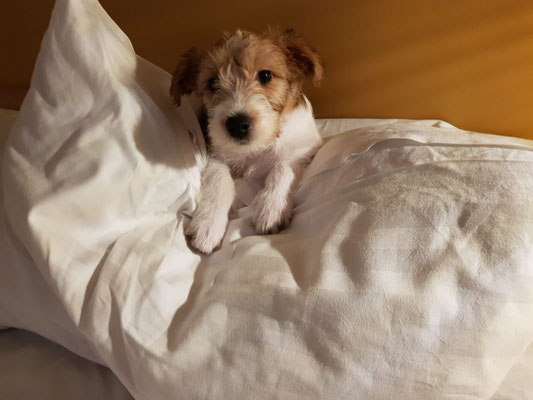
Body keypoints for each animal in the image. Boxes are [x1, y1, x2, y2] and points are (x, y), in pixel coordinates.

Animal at [171, 28, 320, 253]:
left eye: (265, 75)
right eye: (212, 83)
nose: (237, 124)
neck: (255, 151)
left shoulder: (304, 149)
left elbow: (283, 166)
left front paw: (272, 208)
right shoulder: (216, 155)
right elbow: (219, 179)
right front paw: (207, 225)